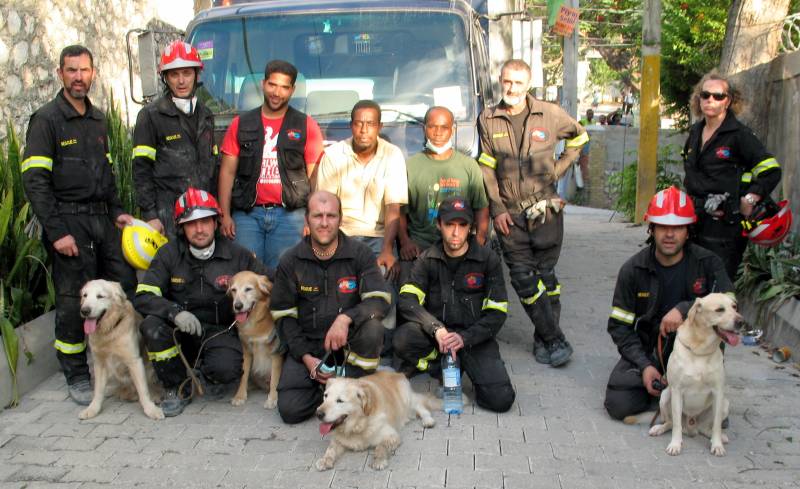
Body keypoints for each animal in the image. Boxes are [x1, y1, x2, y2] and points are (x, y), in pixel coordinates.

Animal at [77, 278, 163, 420]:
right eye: (85, 295)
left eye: (100, 296)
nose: (85, 311)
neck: (110, 331)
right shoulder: (99, 362)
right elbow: (98, 390)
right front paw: (93, 408)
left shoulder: (134, 361)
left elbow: (143, 390)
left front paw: (150, 409)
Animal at [648, 292, 740, 456]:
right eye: (719, 310)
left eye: (734, 307)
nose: (741, 322)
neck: (700, 350)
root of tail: (691, 428)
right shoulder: (677, 390)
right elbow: (676, 424)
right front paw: (675, 444)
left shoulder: (718, 392)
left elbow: (717, 425)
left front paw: (717, 445)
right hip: (665, 396)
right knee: (671, 423)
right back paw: (659, 428)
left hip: (724, 403)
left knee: (708, 428)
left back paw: (719, 438)